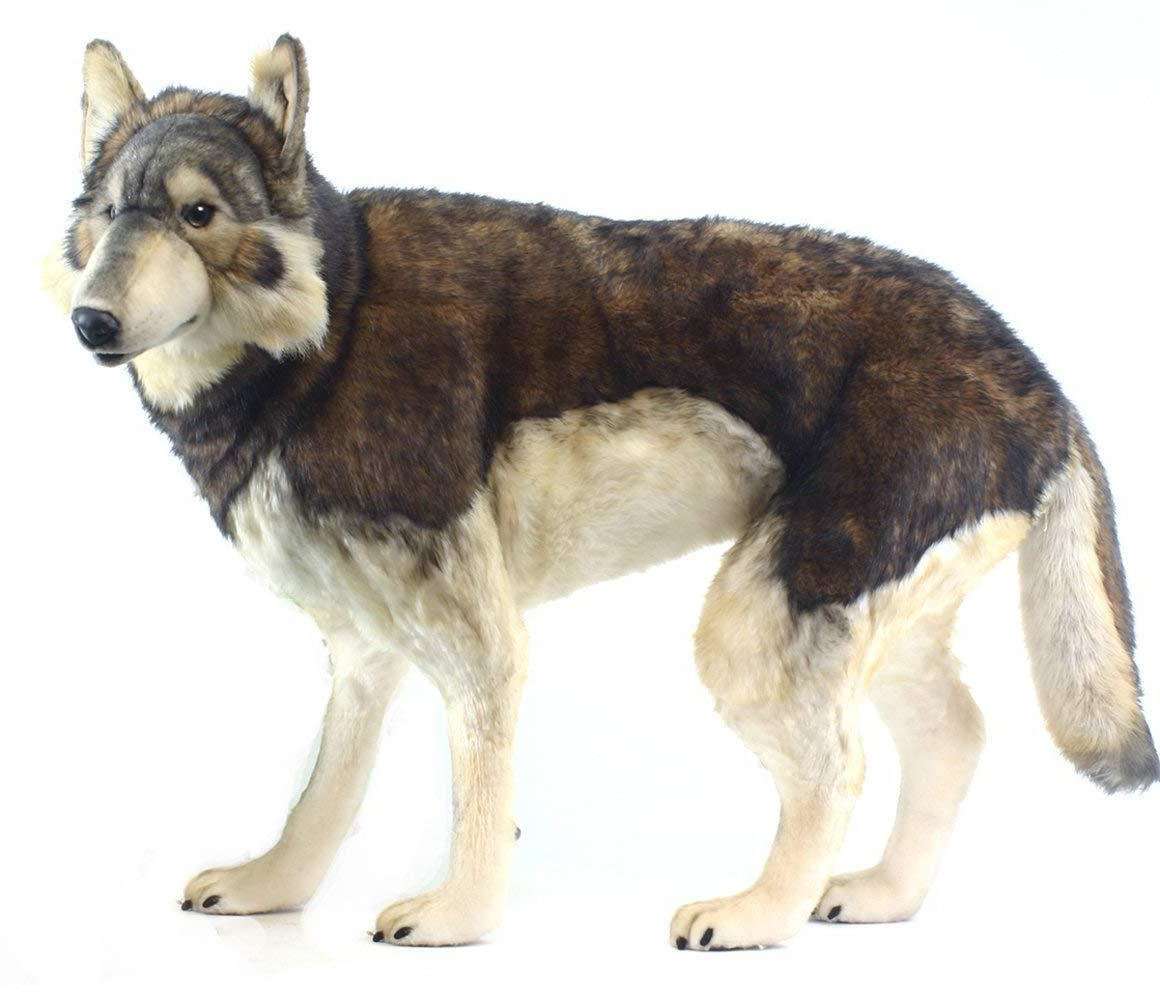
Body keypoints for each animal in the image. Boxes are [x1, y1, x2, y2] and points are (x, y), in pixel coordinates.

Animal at [46, 35, 1156, 950]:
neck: (332, 329)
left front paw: (459, 919)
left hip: (758, 626)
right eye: (106, 216)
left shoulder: (480, 642)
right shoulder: (363, 650)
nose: (90, 324)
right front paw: (273, 888)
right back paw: (880, 895)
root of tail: (1040, 377)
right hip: (858, 619)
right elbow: (326, 793)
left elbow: (477, 792)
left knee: (838, 769)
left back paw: (758, 915)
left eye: (198, 214)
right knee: (956, 735)